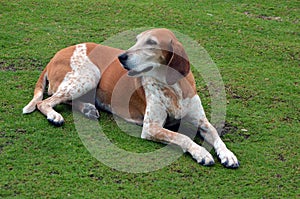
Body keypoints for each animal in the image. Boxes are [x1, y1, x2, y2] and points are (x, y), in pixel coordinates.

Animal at [22, 28, 239, 168]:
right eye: (137, 40)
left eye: (151, 43)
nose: (122, 57)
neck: (173, 86)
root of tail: (55, 55)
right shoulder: (151, 127)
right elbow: (183, 137)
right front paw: (201, 153)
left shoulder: (202, 122)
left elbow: (216, 134)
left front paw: (228, 154)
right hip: (89, 75)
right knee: (44, 101)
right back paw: (55, 116)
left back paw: (88, 109)